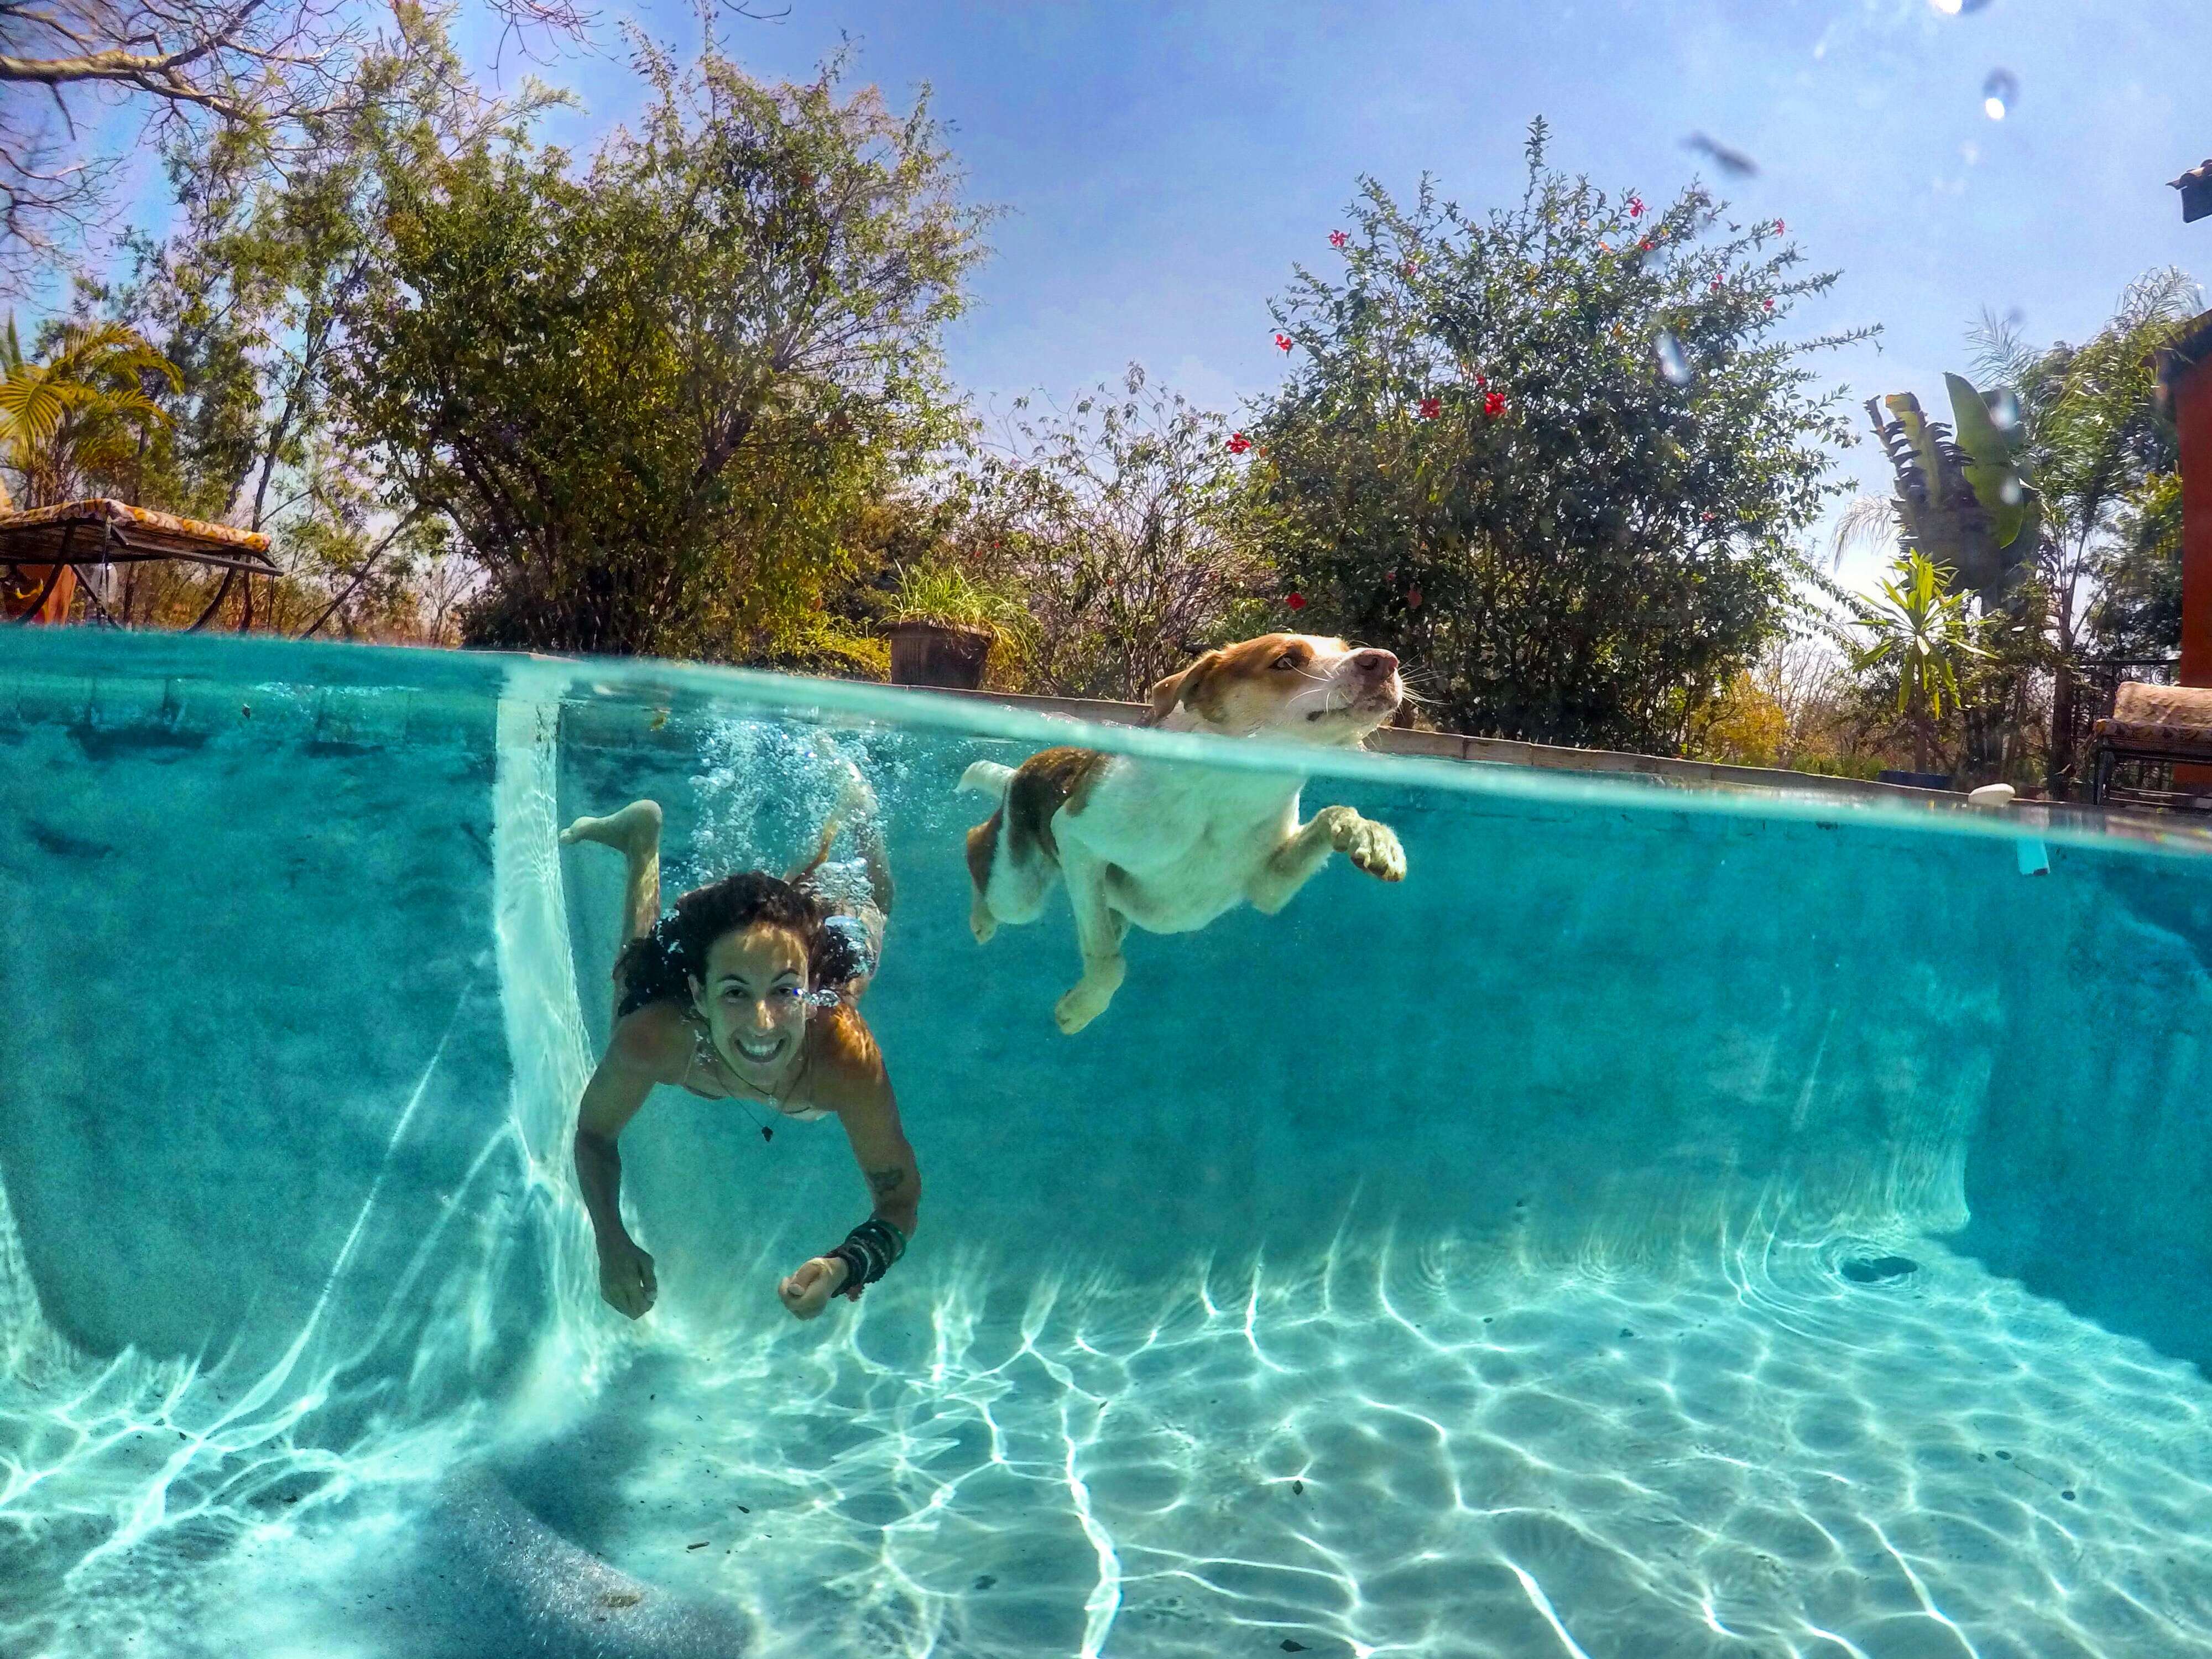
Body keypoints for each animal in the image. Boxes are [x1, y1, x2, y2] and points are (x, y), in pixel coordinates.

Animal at [951, 641, 1398, 1040]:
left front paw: (1373, 839)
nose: (1386, 662)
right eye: (1286, 661)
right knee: (978, 848)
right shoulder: (1077, 839)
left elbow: (1334, 815)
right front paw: (1078, 1010)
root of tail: (1022, 770)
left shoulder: (1268, 886)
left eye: (1344, 645)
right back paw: (981, 920)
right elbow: (1108, 961)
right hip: (1018, 891)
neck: (1228, 792)